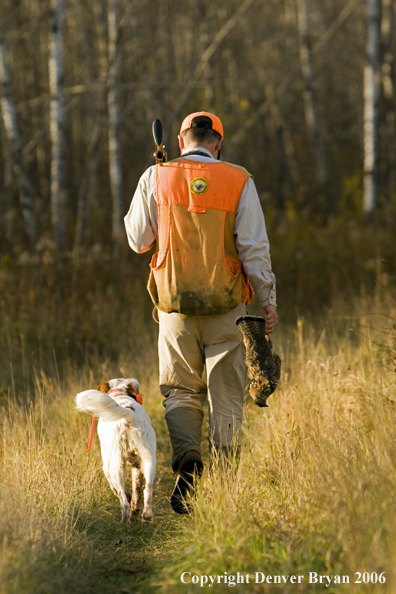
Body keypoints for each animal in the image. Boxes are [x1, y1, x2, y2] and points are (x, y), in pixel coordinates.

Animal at [75, 376, 155, 520]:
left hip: (117, 463)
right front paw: (135, 510)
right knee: (148, 488)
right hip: (148, 458)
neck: (120, 393)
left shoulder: (106, 463)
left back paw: (124, 521)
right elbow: (136, 490)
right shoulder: (136, 464)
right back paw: (146, 516)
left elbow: (116, 489)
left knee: (123, 501)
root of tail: (129, 415)